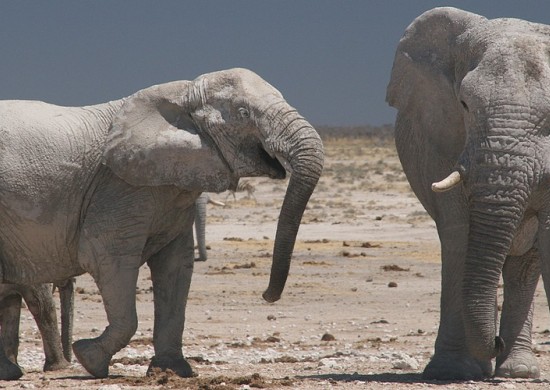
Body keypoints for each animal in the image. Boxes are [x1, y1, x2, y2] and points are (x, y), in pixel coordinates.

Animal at [0, 68, 326, 380]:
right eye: (244, 113)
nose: (266, 295)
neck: (184, 93)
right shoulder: (117, 187)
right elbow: (108, 259)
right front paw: (89, 359)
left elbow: (176, 267)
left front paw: (172, 371)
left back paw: (10, 373)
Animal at [388, 6, 550, 380]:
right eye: (463, 104)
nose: (495, 342)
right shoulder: (444, 138)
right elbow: (460, 232)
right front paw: (451, 371)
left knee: (523, 267)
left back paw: (517, 371)